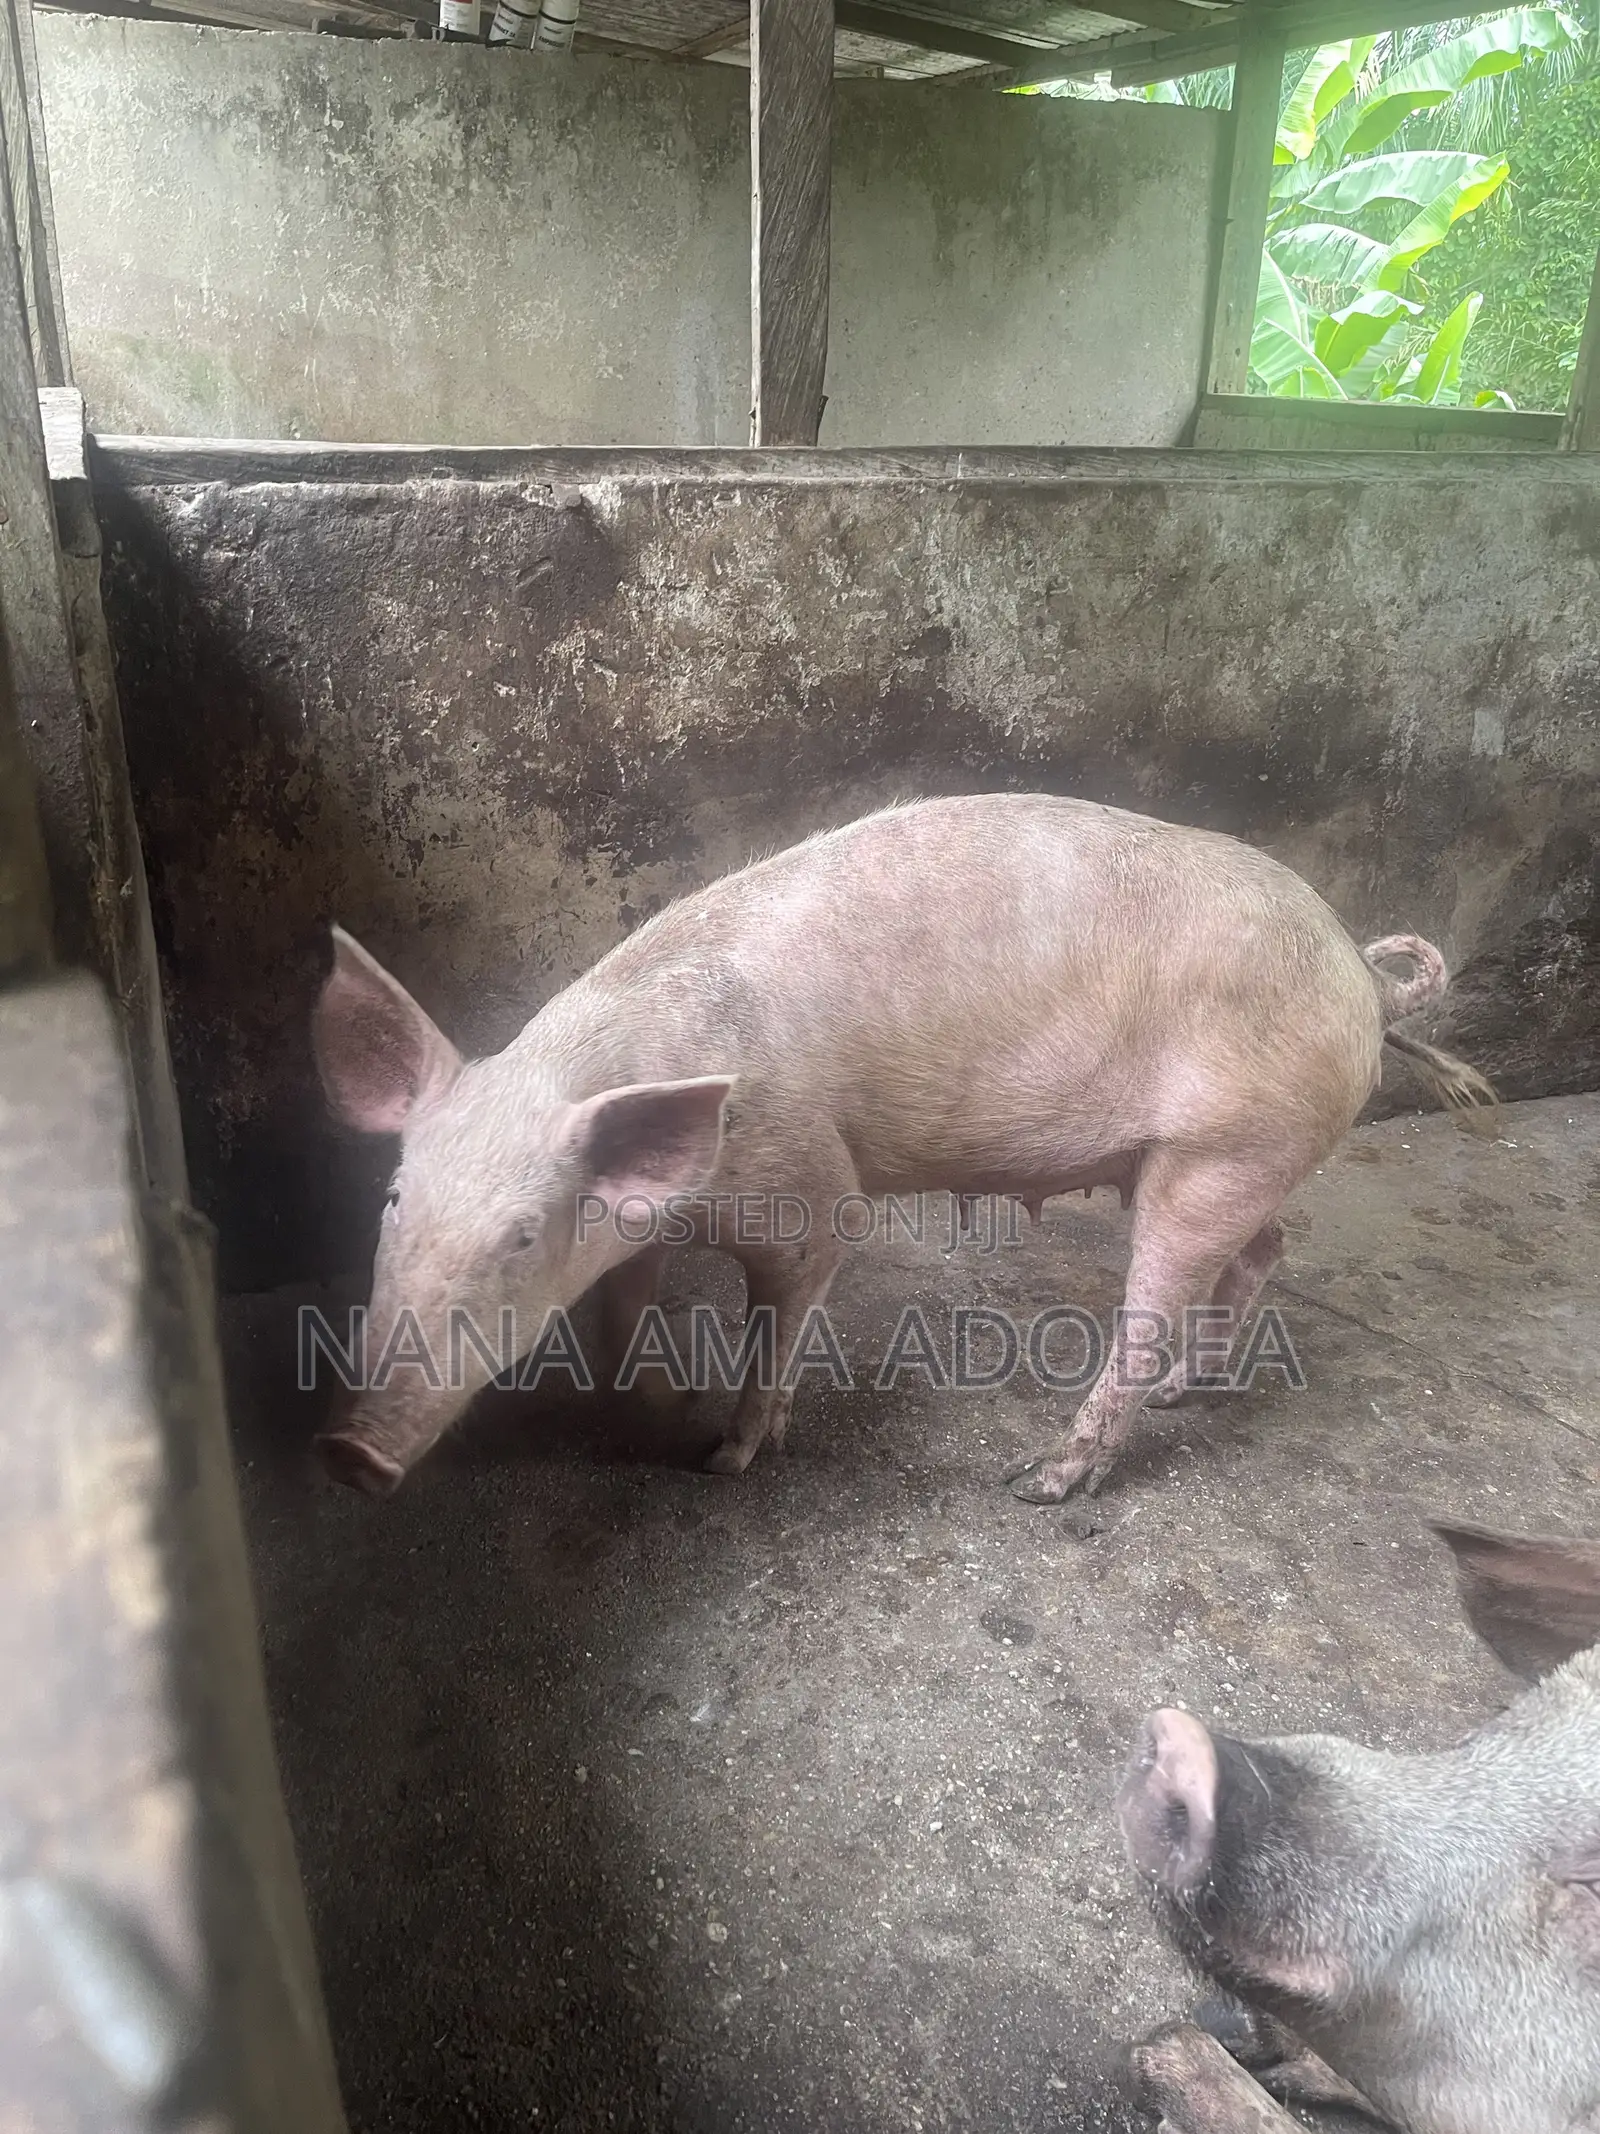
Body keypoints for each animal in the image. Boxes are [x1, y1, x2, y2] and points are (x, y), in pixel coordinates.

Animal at [308, 793, 1491, 1498]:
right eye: (393, 1201)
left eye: (518, 1237)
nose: (348, 1451)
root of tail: (1359, 973)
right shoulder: (642, 1222)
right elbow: (618, 1314)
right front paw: (650, 1412)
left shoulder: (808, 1184)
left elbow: (787, 1306)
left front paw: (724, 1457)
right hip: (1229, 1156)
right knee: (1263, 1252)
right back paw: (1186, 1392)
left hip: (1225, 1145)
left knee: (1158, 1303)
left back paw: (1043, 1482)